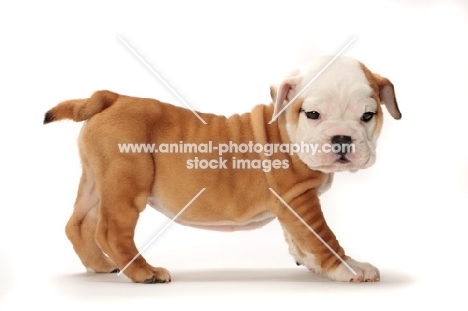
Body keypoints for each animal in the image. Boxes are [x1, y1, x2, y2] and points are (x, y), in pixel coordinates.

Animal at [44, 56, 400, 286]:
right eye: (313, 114)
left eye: (367, 116)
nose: (342, 138)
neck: (284, 129)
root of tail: (111, 98)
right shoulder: (299, 199)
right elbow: (323, 238)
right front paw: (347, 269)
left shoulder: (293, 204)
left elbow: (301, 240)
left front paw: (315, 264)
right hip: (127, 182)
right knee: (111, 232)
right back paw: (145, 272)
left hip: (96, 179)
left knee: (78, 224)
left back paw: (98, 265)